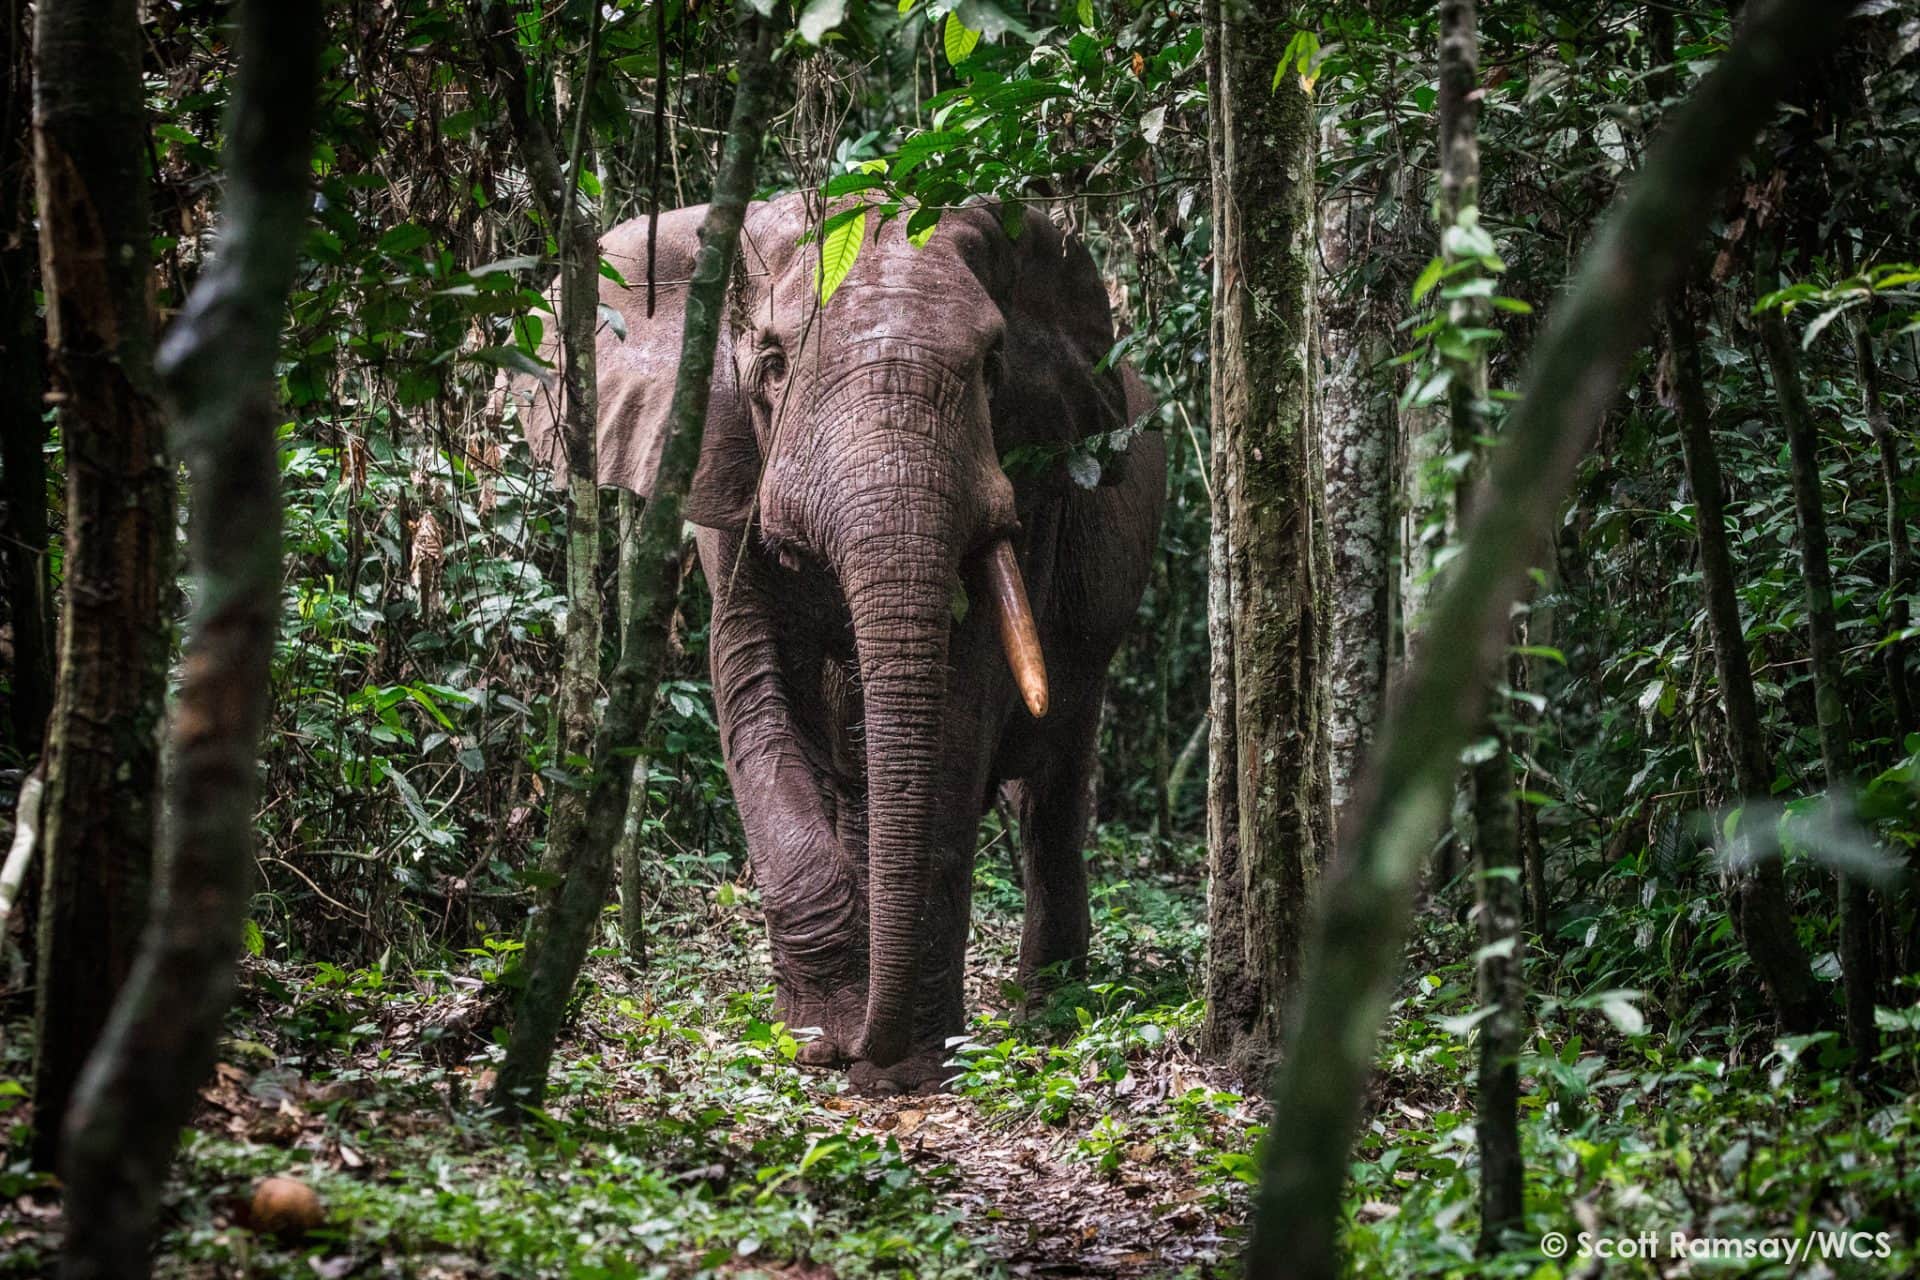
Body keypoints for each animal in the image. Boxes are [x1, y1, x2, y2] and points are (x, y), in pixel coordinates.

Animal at [513, 192, 1164, 1093]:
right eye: (773, 364)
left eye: (992, 367)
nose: (864, 1053)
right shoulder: (725, 473)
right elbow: (750, 693)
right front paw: (816, 1040)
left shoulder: (1027, 486)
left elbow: (962, 713)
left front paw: (907, 1066)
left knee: (1056, 783)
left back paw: (1048, 1012)